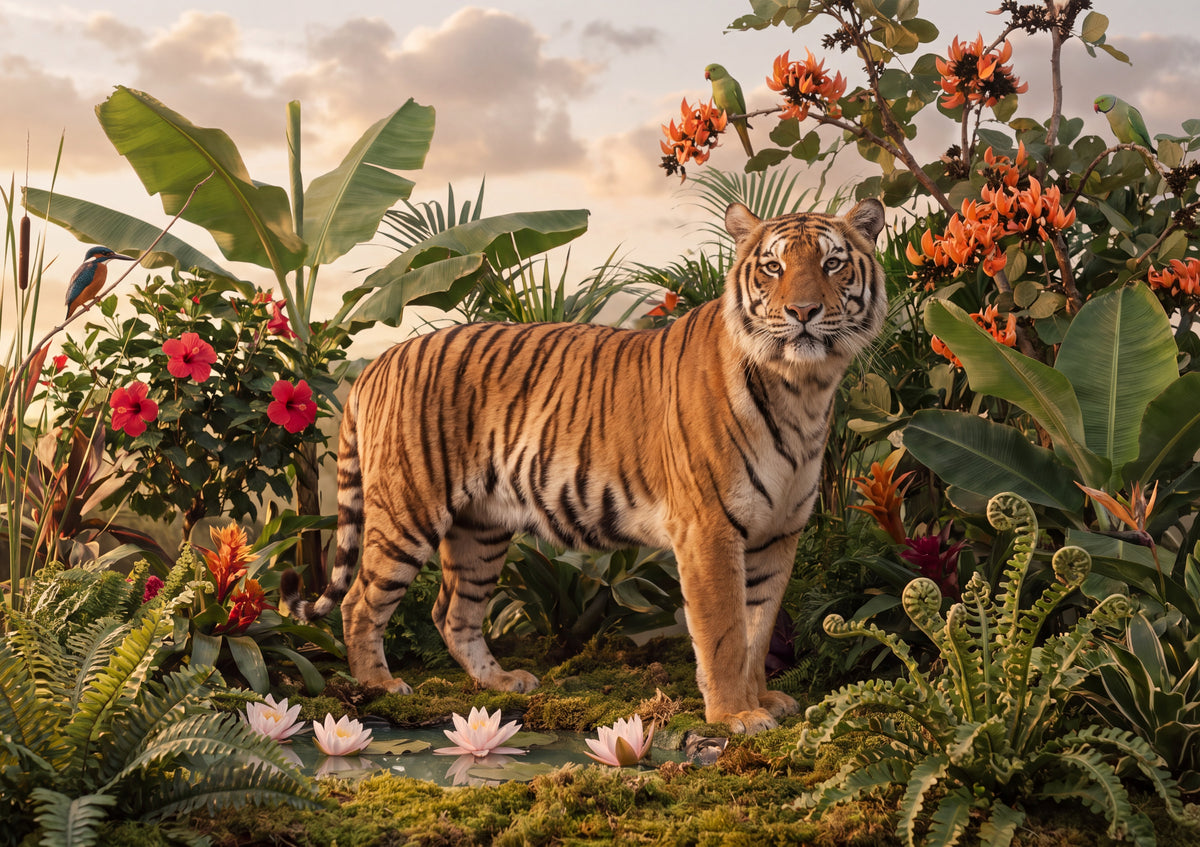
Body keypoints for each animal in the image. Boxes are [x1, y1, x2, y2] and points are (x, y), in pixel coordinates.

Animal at [282, 198, 887, 734]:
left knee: (452, 613)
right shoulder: (710, 530)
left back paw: (502, 682)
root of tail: (375, 363)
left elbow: (758, 629)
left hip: (481, 528)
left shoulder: (778, 532)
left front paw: (762, 701)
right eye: (773, 267)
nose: (803, 313)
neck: (801, 389)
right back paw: (380, 686)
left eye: (832, 263)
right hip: (408, 510)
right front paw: (736, 716)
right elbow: (724, 632)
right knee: (360, 602)